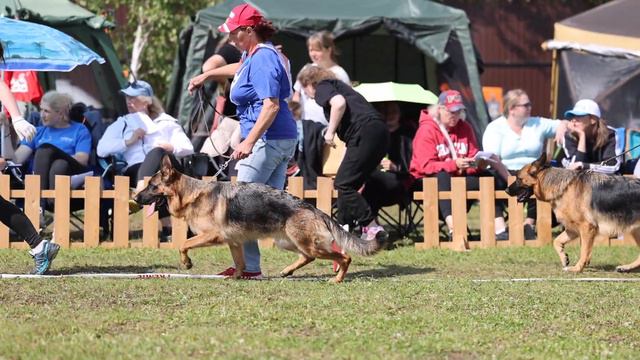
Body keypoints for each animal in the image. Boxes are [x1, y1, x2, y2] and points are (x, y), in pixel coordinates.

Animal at [134, 156, 384, 282]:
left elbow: (183, 244)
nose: (135, 198)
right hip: (288, 242)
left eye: (152, 186)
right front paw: (236, 277)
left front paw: (186, 263)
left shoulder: (212, 236)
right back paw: (287, 271)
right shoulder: (234, 243)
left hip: (304, 243)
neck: (191, 193)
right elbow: (240, 262)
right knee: (308, 257)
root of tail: (312, 208)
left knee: (343, 257)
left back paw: (337, 279)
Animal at [504, 152, 640, 272]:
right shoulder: (572, 229)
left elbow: (584, 251)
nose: (506, 190)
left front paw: (577, 268)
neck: (564, 188)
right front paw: (564, 258)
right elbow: (556, 241)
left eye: (518, 179)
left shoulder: (587, 228)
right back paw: (626, 268)